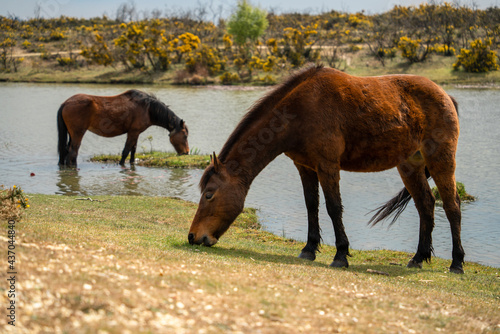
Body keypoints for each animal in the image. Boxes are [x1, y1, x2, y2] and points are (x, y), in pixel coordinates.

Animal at [57, 88, 190, 167]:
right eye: (185, 135)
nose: (186, 152)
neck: (148, 109)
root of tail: (65, 103)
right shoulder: (133, 132)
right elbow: (126, 150)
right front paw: (121, 165)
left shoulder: (136, 133)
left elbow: (133, 150)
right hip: (78, 133)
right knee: (73, 152)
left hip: (71, 133)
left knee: (66, 151)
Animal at [188, 64, 464, 274]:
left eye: (209, 194)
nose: (193, 237)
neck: (300, 110)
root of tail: (445, 96)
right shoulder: (305, 166)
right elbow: (312, 206)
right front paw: (309, 249)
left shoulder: (327, 165)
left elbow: (333, 208)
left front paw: (340, 255)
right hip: (409, 166)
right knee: (426, 205)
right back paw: (418, 258)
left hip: (441, 161)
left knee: (452, 207)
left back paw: (457, 263)